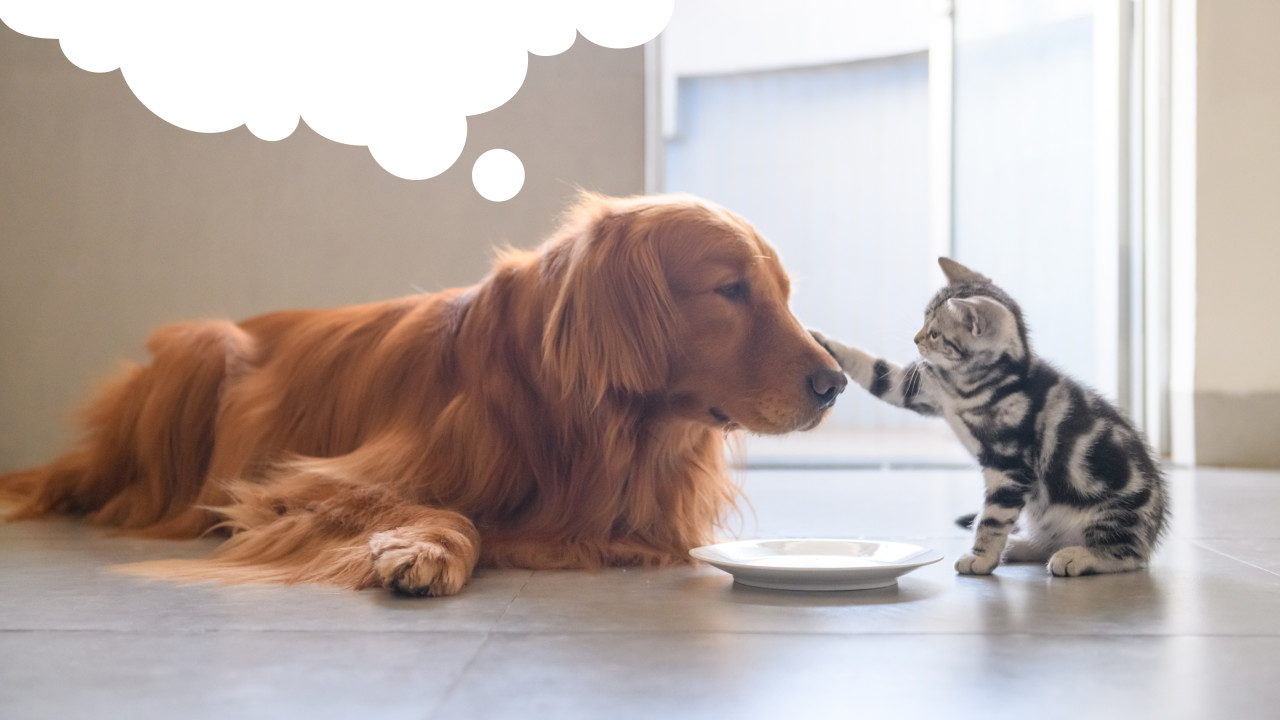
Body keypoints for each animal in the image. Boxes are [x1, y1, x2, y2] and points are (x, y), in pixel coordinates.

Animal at [2, 192, 849, 594]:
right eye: (730, 289)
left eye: (782, 292)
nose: (837, 382)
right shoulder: (303, 482)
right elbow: (447, 510)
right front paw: (424, 550)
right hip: (206, 348)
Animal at [814, 254, 1167, 573]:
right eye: (924, 321)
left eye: (935, 333)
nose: (916, 339)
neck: (969, 386)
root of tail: (1152, 534)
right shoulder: (922, 390)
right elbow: (875, 370)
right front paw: (821, 341)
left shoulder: (1009, 464)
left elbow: (993, 519)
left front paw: (981, 558)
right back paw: (1023, 546)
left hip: (1112, 511)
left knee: (1127, 555)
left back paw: (1078, 557)